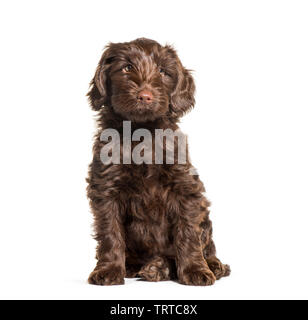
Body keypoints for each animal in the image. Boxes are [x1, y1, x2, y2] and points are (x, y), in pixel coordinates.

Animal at [85, 38, 230, 288]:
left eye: (163, 71)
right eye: (127, 68)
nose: (145, 96)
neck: (141, 132)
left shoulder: (186, 189)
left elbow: (188, 233)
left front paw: (195, 270)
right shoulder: (105, 188)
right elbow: (109, 232)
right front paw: (109, 270)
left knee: (205, 246)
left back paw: (201, 265)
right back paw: (145, 267)